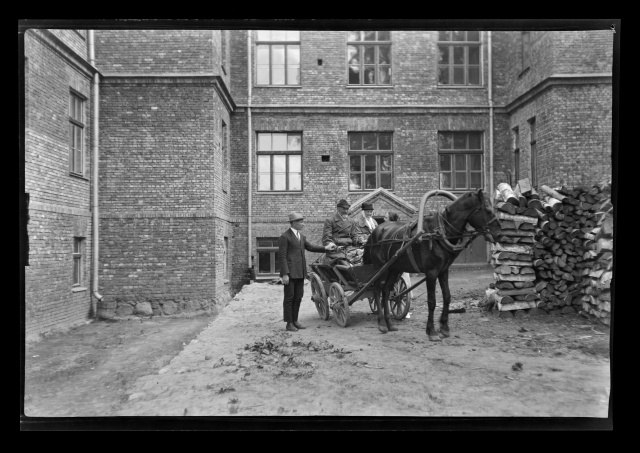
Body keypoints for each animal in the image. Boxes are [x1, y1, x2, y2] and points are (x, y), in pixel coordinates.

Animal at [362, 187, 502, 340]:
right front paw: (432, 331)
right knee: (377, 290)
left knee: (386, 291)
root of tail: (376, 232)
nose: (499, 233)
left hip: (394, 269)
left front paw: (444, 327)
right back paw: (381, 323)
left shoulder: (443, 270)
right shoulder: (431, 272)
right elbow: (432, 301)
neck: (438, 233)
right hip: (380, 268)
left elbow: (447, 297)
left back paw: (389, 323)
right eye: (487, 210)